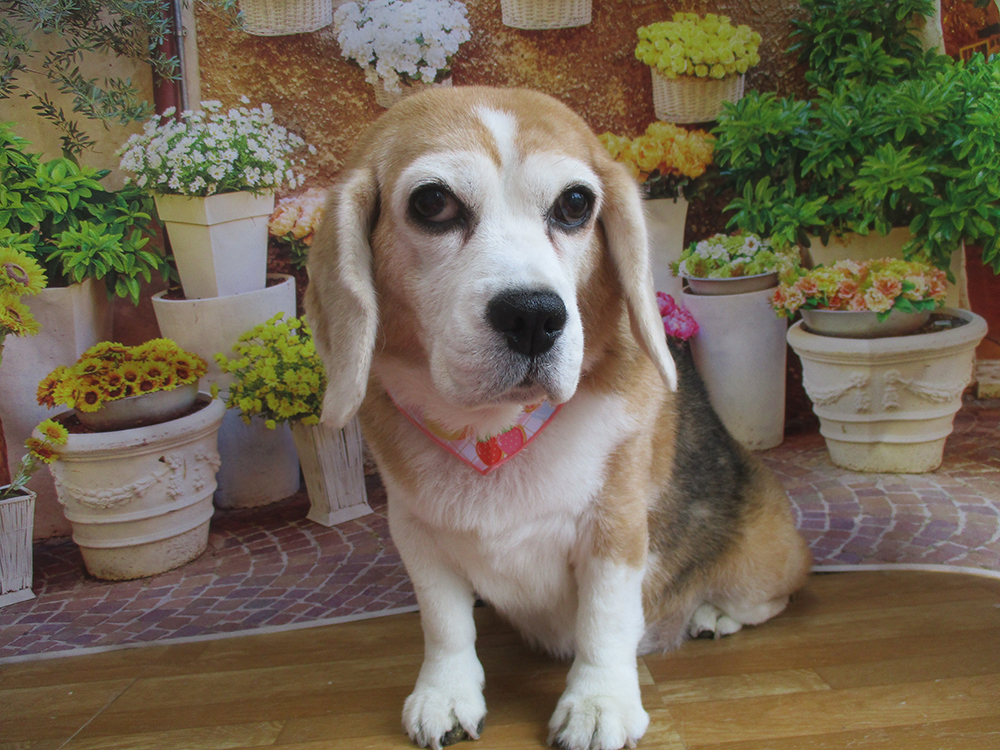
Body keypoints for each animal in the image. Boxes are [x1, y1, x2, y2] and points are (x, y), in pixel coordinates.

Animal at [305, 86, 812, 750]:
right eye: (432, 203)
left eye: (575, 204)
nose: (534, 316)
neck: (494, 431)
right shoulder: (415, 531)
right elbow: (444, 624)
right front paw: (446, 692)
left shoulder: (615, 527)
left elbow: (604, 620)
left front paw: (597, 703)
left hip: (766, 559)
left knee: (769, 597)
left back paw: (714, 613)